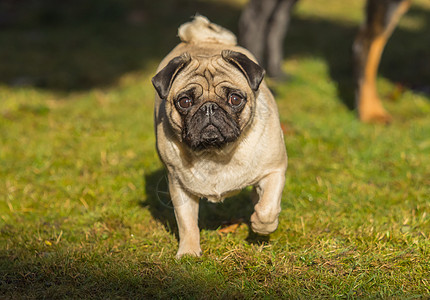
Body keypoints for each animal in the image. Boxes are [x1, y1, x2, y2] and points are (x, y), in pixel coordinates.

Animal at [149, 15, 288, 256]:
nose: (209, 108)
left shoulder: (275, 169)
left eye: (235, 99)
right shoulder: (179, 186)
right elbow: (186, 223)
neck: (216, 154)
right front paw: (188, 252)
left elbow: (268, 208)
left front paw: (261, 226)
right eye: (185, 102)